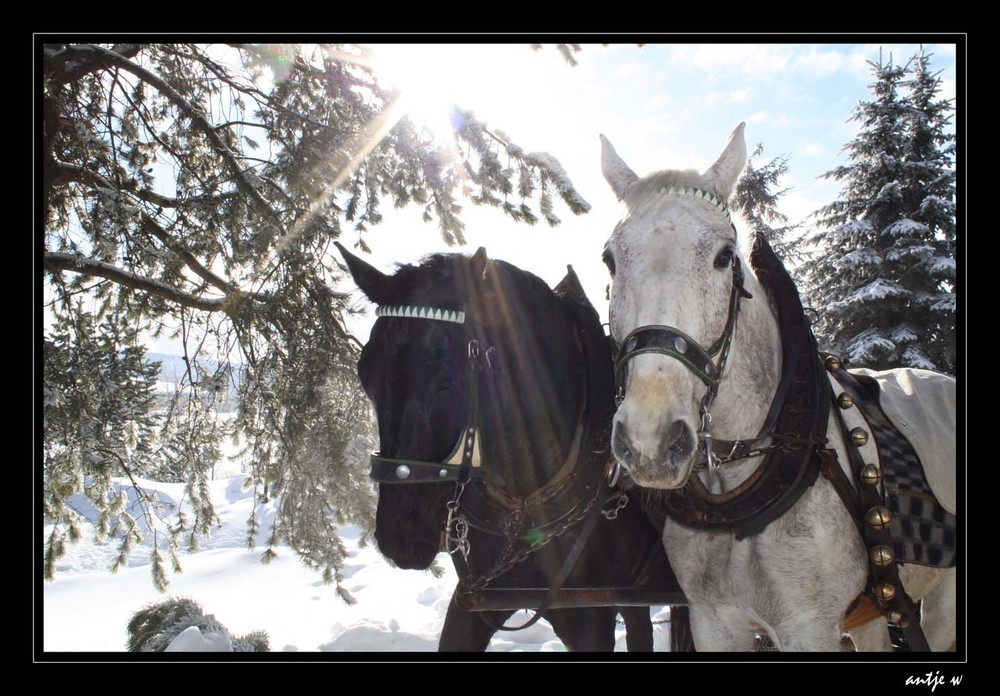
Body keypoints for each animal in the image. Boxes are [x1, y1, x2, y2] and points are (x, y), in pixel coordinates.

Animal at [336, 245, 688, 652]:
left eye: (446, 379)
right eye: (365, 375)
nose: (400, 537)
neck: (522, 507)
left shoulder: (590, 619)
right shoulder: (474, 604)